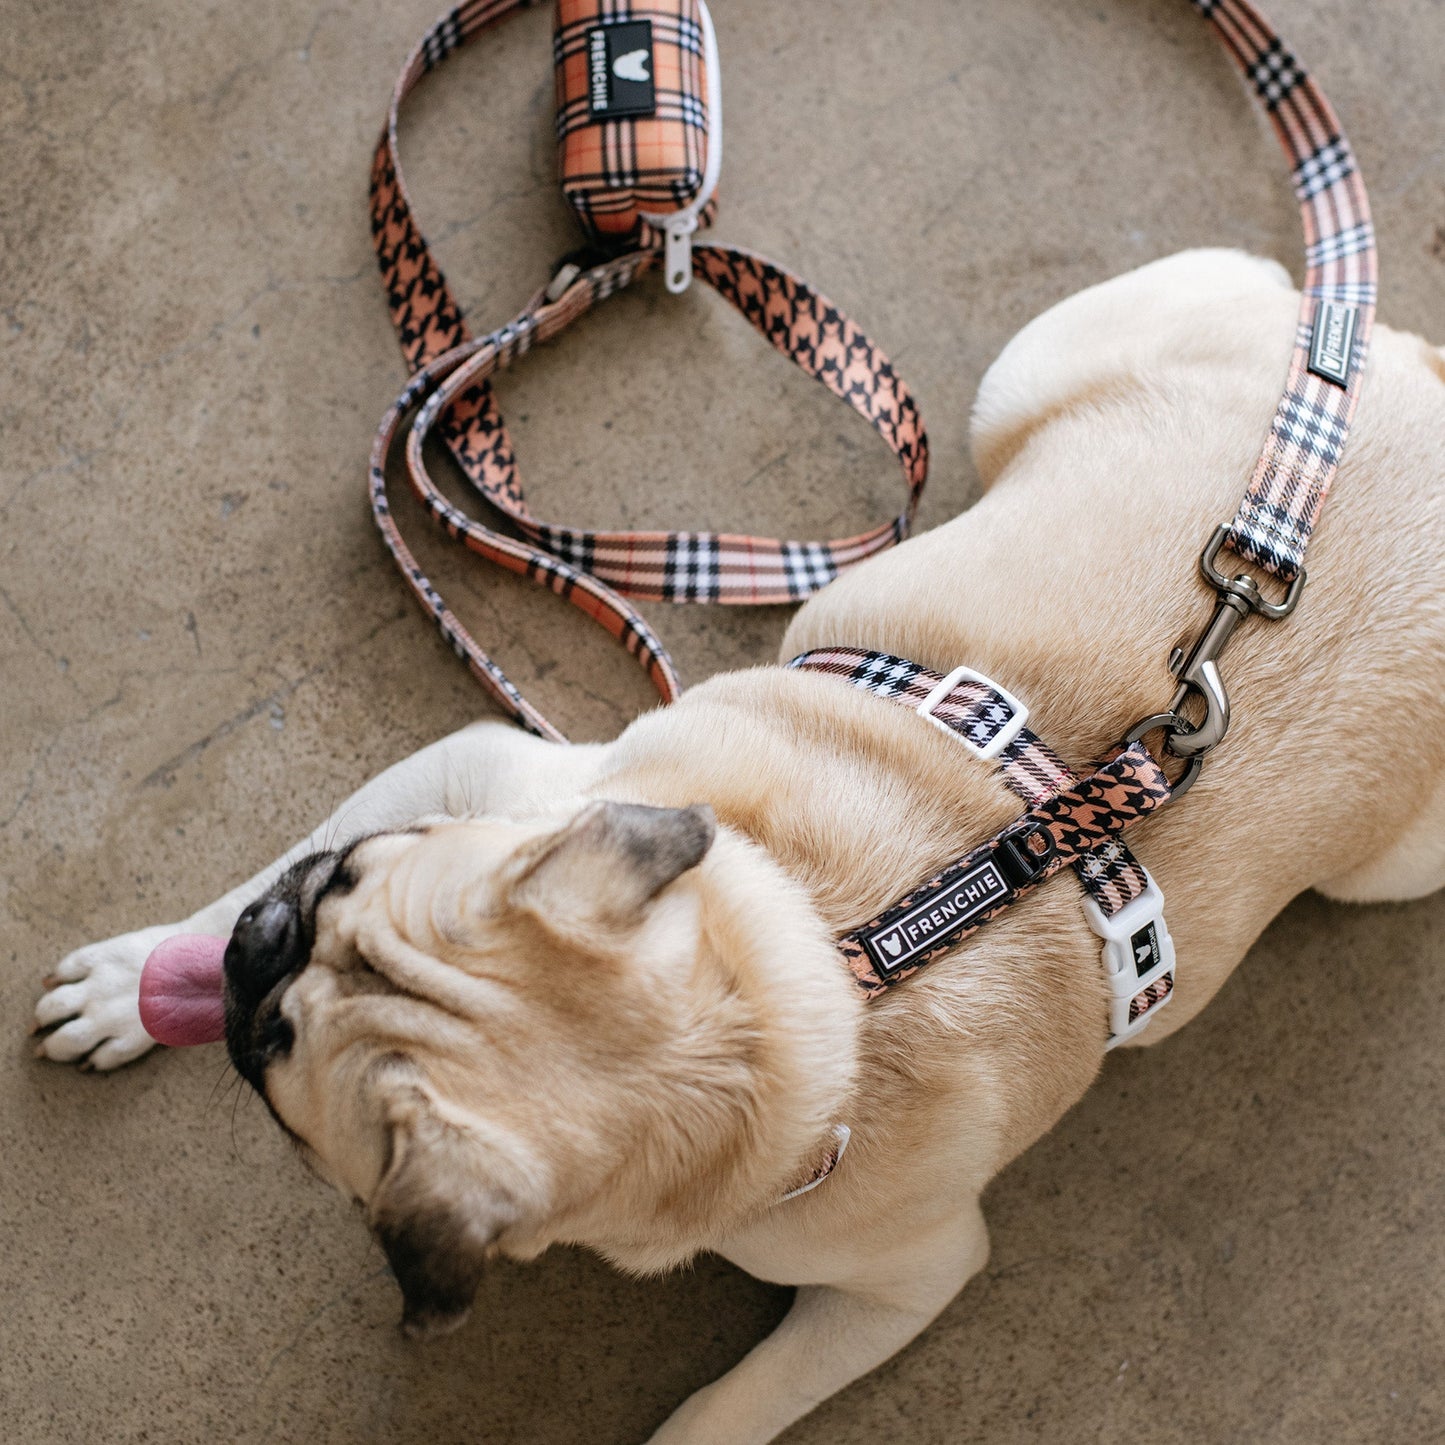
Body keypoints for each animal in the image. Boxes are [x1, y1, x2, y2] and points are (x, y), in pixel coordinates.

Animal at [33, 254, 1445, 1439]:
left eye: (274, 1049)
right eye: (337, 890)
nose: (266, 940)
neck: (809, 981)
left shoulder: (899, 1281)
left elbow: (728, 1407)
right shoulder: (488, 776)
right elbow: (266, 859)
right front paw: (132, 980)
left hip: (1389, 863)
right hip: (1032, 373)